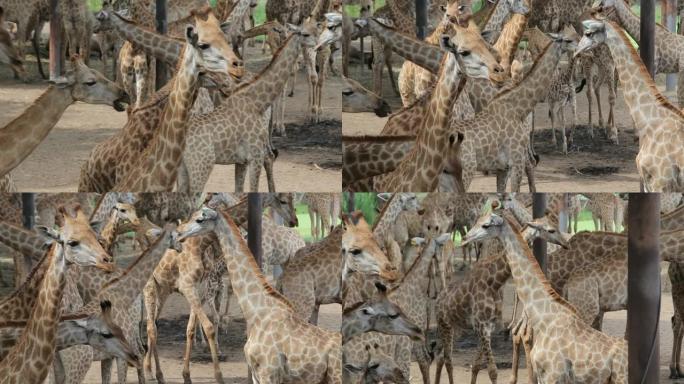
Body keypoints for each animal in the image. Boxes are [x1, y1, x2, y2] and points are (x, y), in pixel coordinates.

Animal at [175, 207, 342, 384]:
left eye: (200, 219)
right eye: (192, 215)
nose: (178, 232)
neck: (257, 313)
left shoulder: (268, 373)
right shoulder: (256, 373)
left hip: (336, 376)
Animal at [436, 214, 568, 384]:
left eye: (555, 226)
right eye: (551, 230)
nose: (565, 243)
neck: (494, 281)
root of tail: (438, 300)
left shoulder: (487, 327)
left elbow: (476, 365)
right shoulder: (482, 326)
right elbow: (492, 371)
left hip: (452, 326)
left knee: (441, 357)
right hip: (443, 324)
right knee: (447, 360)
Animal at [462, 210, 628, 384]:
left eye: (486, 225)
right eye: (477, 220)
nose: (465, 238)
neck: (544, 318)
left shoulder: (553, 374)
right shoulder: (545, 375)